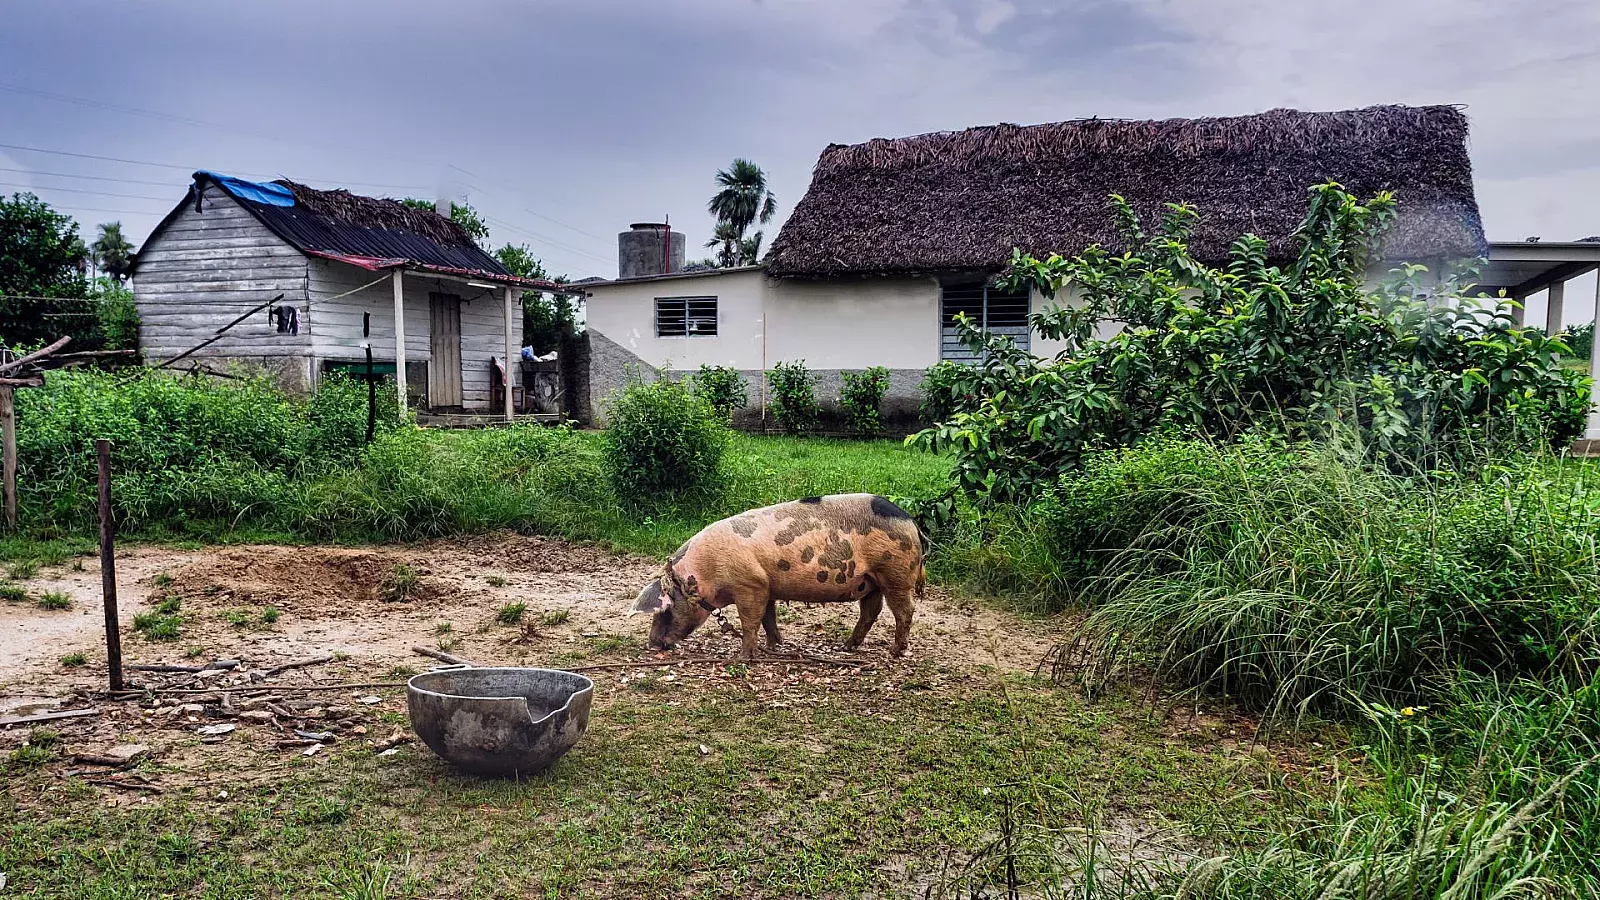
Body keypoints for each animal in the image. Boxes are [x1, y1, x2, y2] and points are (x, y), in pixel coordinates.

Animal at [627, 490, 928, 659]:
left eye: (665, 611)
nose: (653, 643)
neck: (704, 574)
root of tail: (910, 521)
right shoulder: (766, 585)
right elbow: (768, 618)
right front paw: (775, 647)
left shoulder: (750, 585)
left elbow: (750, 622)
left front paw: (742, 657)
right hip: (870, 581)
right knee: (870, 611)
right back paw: (846, 647)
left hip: (895, 573)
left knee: (904, 611)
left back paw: (895, 651)